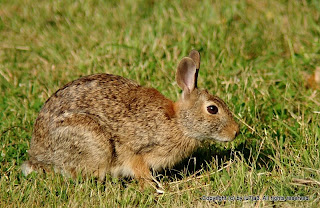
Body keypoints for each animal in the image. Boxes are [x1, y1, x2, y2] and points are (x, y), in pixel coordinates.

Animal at [21, 50, 239, 192]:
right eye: (212, 109)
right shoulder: (136, 150)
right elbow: (139, 168)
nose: (236, 131)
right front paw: (152, 187)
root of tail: (37, 157)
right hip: (92, 142)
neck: (179, 122)